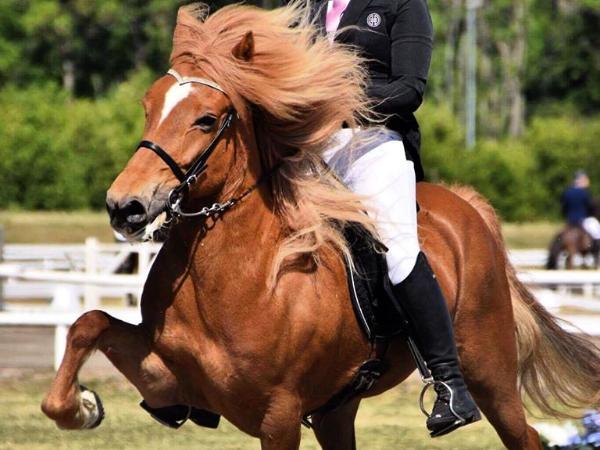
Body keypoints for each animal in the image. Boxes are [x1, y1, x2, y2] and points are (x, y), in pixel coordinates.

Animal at [41, 4, 600, 450]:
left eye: (206, 120)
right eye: (148, 107)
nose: (125, 207)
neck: (233, 280)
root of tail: (465, 204)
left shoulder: (279, 416)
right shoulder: (168, 379)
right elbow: (89, 322)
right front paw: (81, 407)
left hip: (490, 371)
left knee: (522, 433)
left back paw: (452, 402)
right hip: (338, 410)